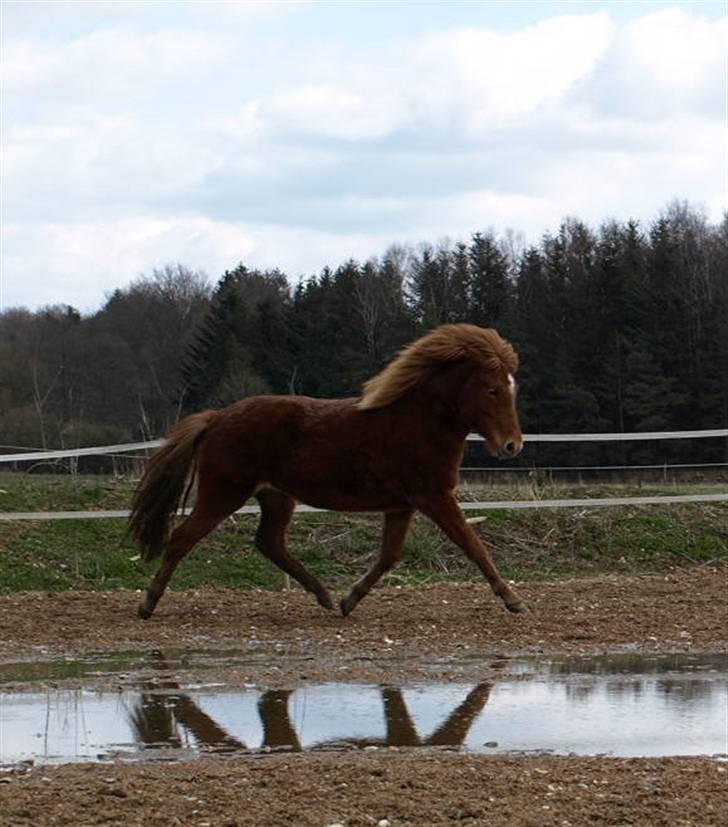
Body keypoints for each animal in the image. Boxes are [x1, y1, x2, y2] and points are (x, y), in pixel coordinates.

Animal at [129, 324, 524, 620]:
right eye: (492, 389)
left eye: (512, 388)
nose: (512, 445)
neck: (417, 422)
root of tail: (216, 418)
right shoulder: (436, 497)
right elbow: (473, 545)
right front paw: (512, 600)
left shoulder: (402, 505)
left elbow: (389, 555)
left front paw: (350, 599)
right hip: (224, 493)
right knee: (182, 538)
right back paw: (148, 603)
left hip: (276, 497)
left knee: (269, 543)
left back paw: (324, 596)